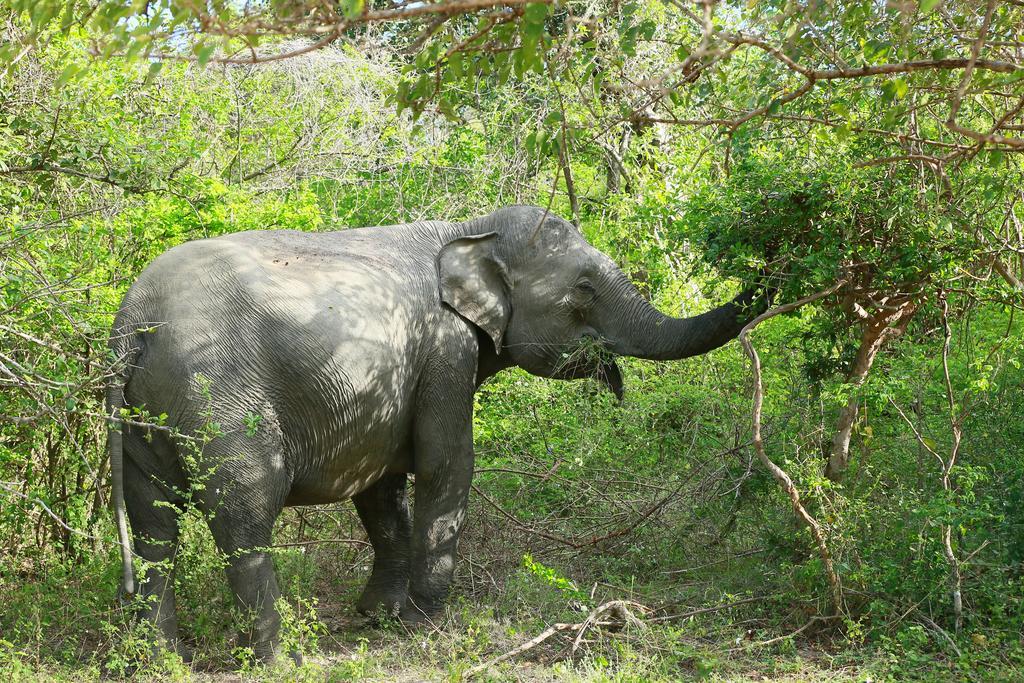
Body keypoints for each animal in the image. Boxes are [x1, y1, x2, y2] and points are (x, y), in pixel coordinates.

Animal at [105, 204, 761, 663]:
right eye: (583, 290)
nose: (767, 265)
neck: (468, 227)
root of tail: (132, 323)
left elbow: (379, 486)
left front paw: (379, 617)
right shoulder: (447, 347)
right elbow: (447, 462)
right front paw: (424, 622)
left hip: (141, 417)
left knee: (153, 525)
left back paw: (166, 660)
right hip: (219, 400)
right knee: (243, 517)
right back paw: (278, 660)